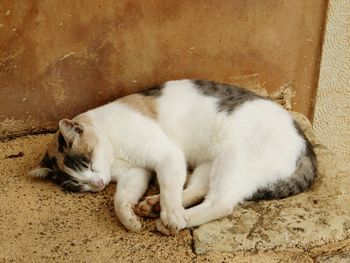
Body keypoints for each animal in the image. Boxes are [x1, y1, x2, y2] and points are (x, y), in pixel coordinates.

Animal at [28, 79, 318, 236]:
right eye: (77, 185)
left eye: (86, 162)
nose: (98, 185)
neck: (114, 153)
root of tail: (304, 142)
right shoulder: (136, 172)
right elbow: (120, 199)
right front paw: (130, 219)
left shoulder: (167, 155)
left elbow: (169, 185)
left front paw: (170, 213)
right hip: (209, 163)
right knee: (198, 189)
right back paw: (153, 205)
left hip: (233, 159)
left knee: (220, 202)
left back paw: (173, 219)